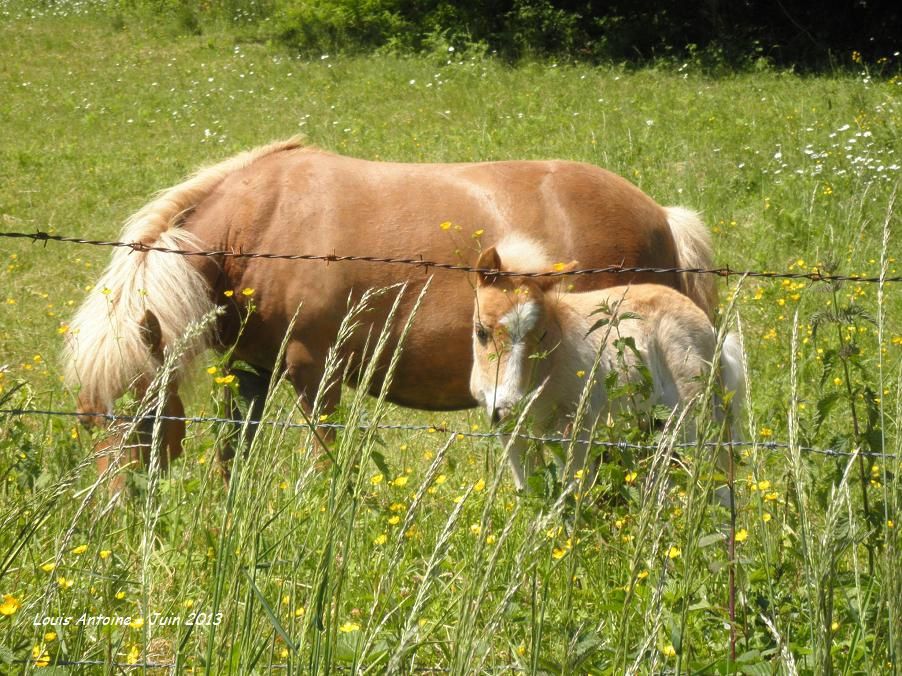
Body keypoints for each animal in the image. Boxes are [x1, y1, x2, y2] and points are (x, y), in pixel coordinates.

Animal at [63, 138, 716, 476]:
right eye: (88, 421)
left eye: (143, 418)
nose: (115, 516)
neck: (262, 222)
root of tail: (660, 216)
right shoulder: (248, 370)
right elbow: (231, 455)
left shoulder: (313, 372)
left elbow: (323, 459)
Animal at [470, 235, 744, 488]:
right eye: (480, 331)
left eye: (542, 335)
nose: (506, 409)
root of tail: (709, 329)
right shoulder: (510, 431)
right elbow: (527, 488)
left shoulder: (572, 428)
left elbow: (573, 488)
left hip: (692, 413)